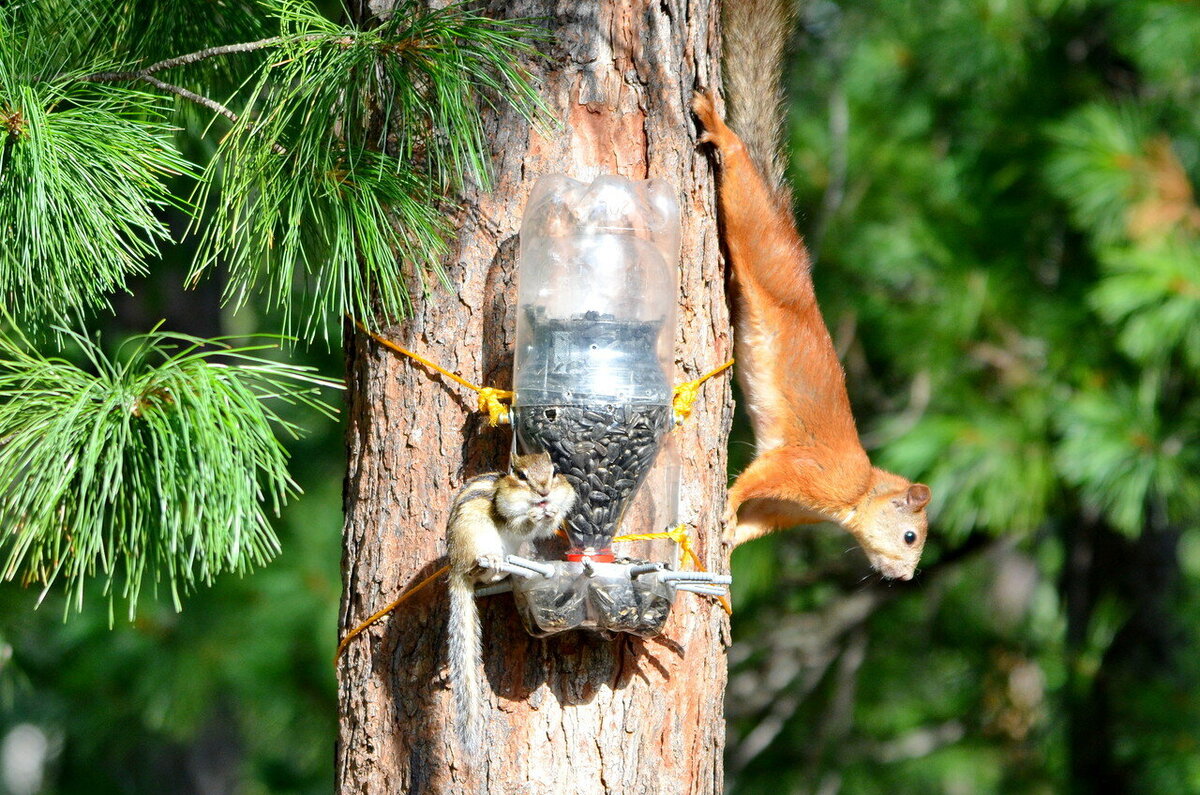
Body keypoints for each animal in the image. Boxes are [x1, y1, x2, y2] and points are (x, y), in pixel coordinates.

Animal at [696, 0, 926, 578]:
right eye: (911, 535)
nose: (904, 577)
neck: (859, 494)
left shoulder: (788, 508)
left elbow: (756, 520)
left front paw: (729, 538)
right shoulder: (807, 471)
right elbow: (757, 478)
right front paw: (725, 506)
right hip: (760, 240)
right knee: (740, 177)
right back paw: (720, 129)